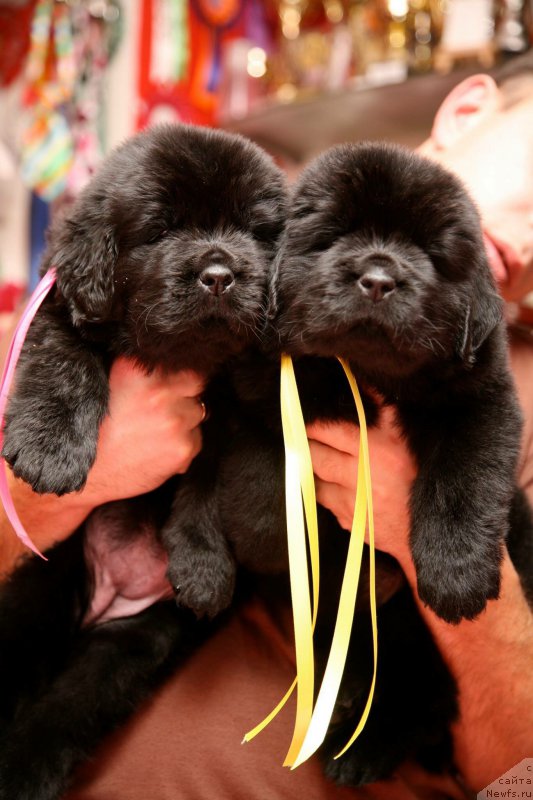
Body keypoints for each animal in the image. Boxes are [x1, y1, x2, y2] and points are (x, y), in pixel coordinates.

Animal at [0, 120, 286, 800]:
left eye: (253, 230)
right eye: (161, 229)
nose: (219, 274)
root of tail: (106, 599)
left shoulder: (229, 398)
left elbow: (210, 477)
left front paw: (204, 564)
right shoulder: (62, 304)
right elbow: (64, 357)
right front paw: (49, 447)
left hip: (133, 647)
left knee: (65, 714)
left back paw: (21, 774)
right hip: (39, 590)